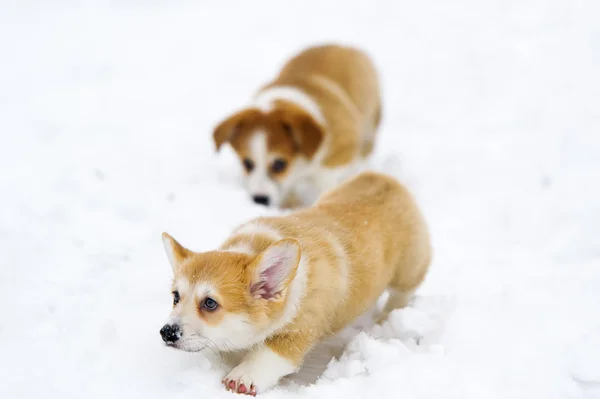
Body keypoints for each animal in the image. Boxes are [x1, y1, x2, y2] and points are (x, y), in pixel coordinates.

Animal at [159, 170, 432, 396]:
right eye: (175, 297)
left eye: (210, 303)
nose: (167, 332)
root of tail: (385, 179)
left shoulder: (303, 328)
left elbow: (269, 353)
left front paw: (243, 376)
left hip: (409, 269)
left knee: (402, 293)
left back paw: (386, 319)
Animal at [211, 43, 380, 209]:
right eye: (247, 163)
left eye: (280, 164)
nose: (259, 200)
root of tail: (342, 44)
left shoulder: (339, 153)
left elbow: (326, 182)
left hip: (370, 126)